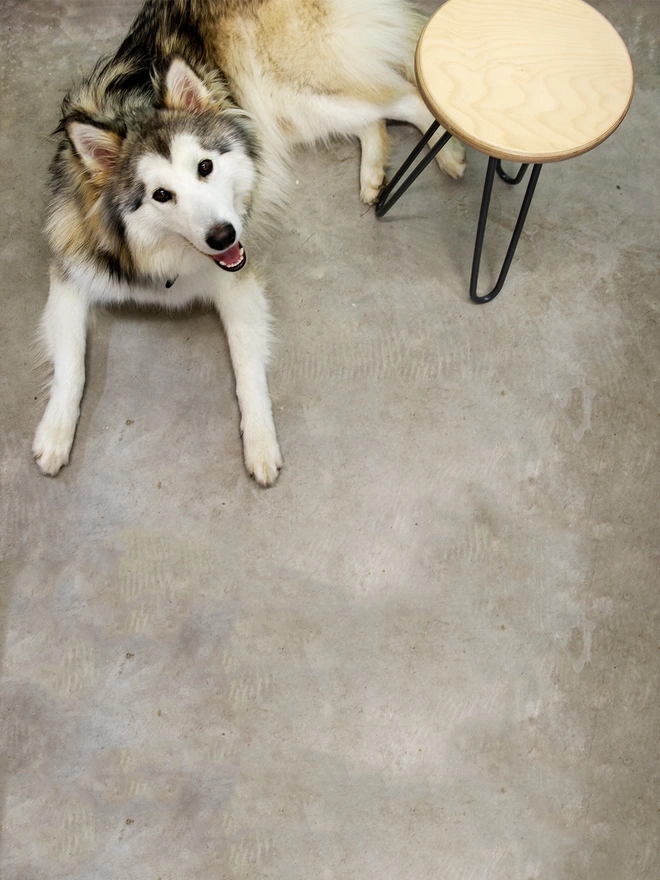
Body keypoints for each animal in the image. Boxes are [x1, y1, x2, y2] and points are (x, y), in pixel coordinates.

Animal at [33, 0, 466, 484]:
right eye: (161, 195)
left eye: (205, 167)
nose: (225, 234)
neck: (163, 256)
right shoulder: (70, 274)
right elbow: (71, 366)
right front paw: (54, 433)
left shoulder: (239, 285)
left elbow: (247, 372)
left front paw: (260, 442)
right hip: (284, 112)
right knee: (374, 117)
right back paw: (373, 174)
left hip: (293, 91)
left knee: (405, 95)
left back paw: (449, 152)